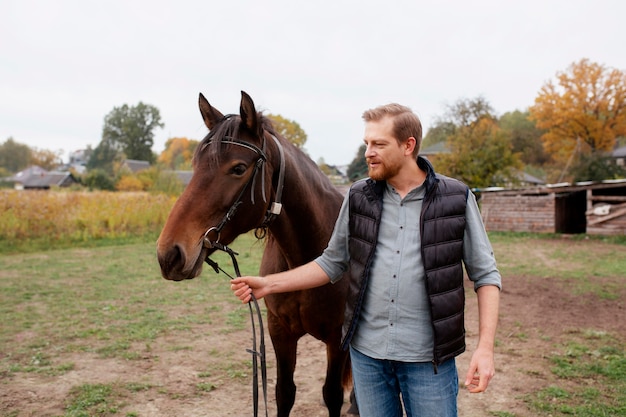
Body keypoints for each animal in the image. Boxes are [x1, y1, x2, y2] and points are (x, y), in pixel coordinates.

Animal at [156, 91, 356, 416]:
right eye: (195, 165)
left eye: (238, 168)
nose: (169, 253)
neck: (306, 258)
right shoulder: (279, 332)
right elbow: (284, 393)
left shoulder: (336, 338)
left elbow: (332, 394)